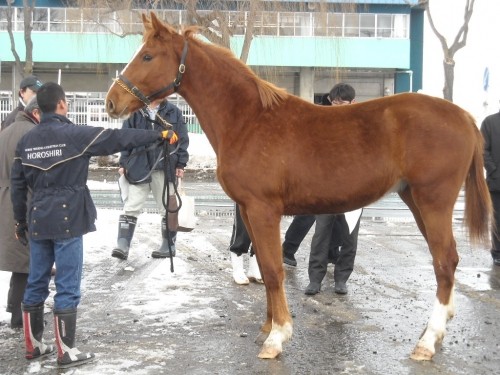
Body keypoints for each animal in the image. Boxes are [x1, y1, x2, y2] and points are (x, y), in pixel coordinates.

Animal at [105, 13, 492, 362]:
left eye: (147, 56)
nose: (111, 102)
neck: (247, 120)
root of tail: (463, 117)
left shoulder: (263, 210)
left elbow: (275, 270)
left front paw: (277, 336)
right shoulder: (249, 211)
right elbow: (264, 266)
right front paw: (267, 325)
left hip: (433, 201)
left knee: (445, 261)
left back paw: (426, 343)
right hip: (414, 199)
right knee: (446, 262)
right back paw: (438, 331)